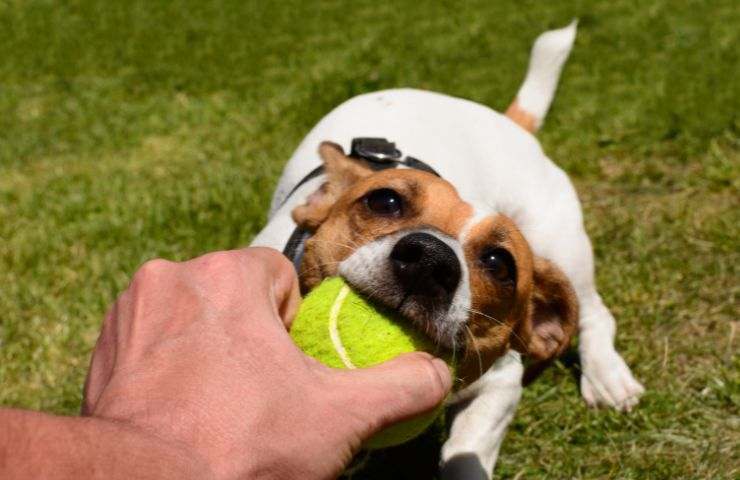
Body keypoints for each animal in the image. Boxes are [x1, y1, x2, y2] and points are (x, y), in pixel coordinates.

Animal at [251, 21, 644, 476]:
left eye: (499, 263)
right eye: (384, 201)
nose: (430, 260)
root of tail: (508, 121)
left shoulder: (501, 381)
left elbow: (466, 453)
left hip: (561, 244)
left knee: (595, 312)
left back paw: (607, 376)